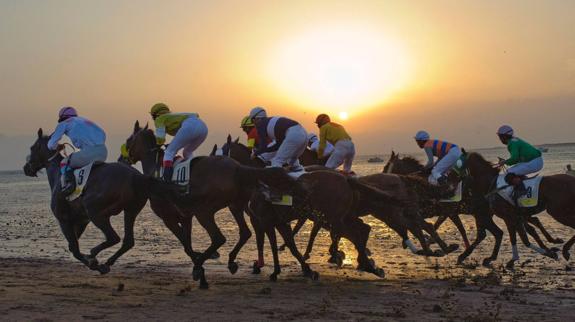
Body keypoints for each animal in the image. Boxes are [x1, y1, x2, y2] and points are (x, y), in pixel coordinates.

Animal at [23, 128, 150, 274]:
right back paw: (107, 262)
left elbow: (74, 248)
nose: (26, 168)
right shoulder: (81, 220)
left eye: (32, 148)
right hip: (130, 211)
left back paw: (94, 254)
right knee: (128, 241)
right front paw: (93, 262)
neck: (57, 174)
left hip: (95, 212)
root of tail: (135, 176)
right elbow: (73, 247)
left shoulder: (64, 219)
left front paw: (93, 263)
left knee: (113, 237)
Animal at [121, 122, 296, 288]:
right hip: (234, 206)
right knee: (246, 232)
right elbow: (187, 244)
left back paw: (202, 265)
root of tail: (237, 167)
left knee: (219, 238)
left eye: (129, 140)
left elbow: (187, 246)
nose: (121, 160)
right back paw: (232, 262)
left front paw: (201, 272)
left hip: (204, 211)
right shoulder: (186, 217)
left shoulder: (168, 218)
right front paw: (203, 274)